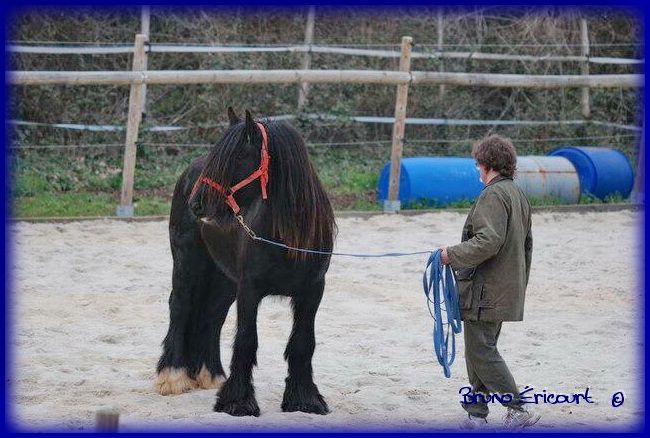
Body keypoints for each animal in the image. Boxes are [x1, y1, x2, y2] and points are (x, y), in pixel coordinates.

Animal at [156, 108, 334, 416]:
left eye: (238, 156)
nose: (196, 203)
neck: (287, 237)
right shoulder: (250, 290)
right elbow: (246, 340)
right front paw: (238, 402)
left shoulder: (312, 291)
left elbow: (302, 342)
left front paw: (304, 400)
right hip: (188, 262)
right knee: (179, 306)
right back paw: (173, 377)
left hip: (224, 279)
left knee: (212, 316)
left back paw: (211, 375)